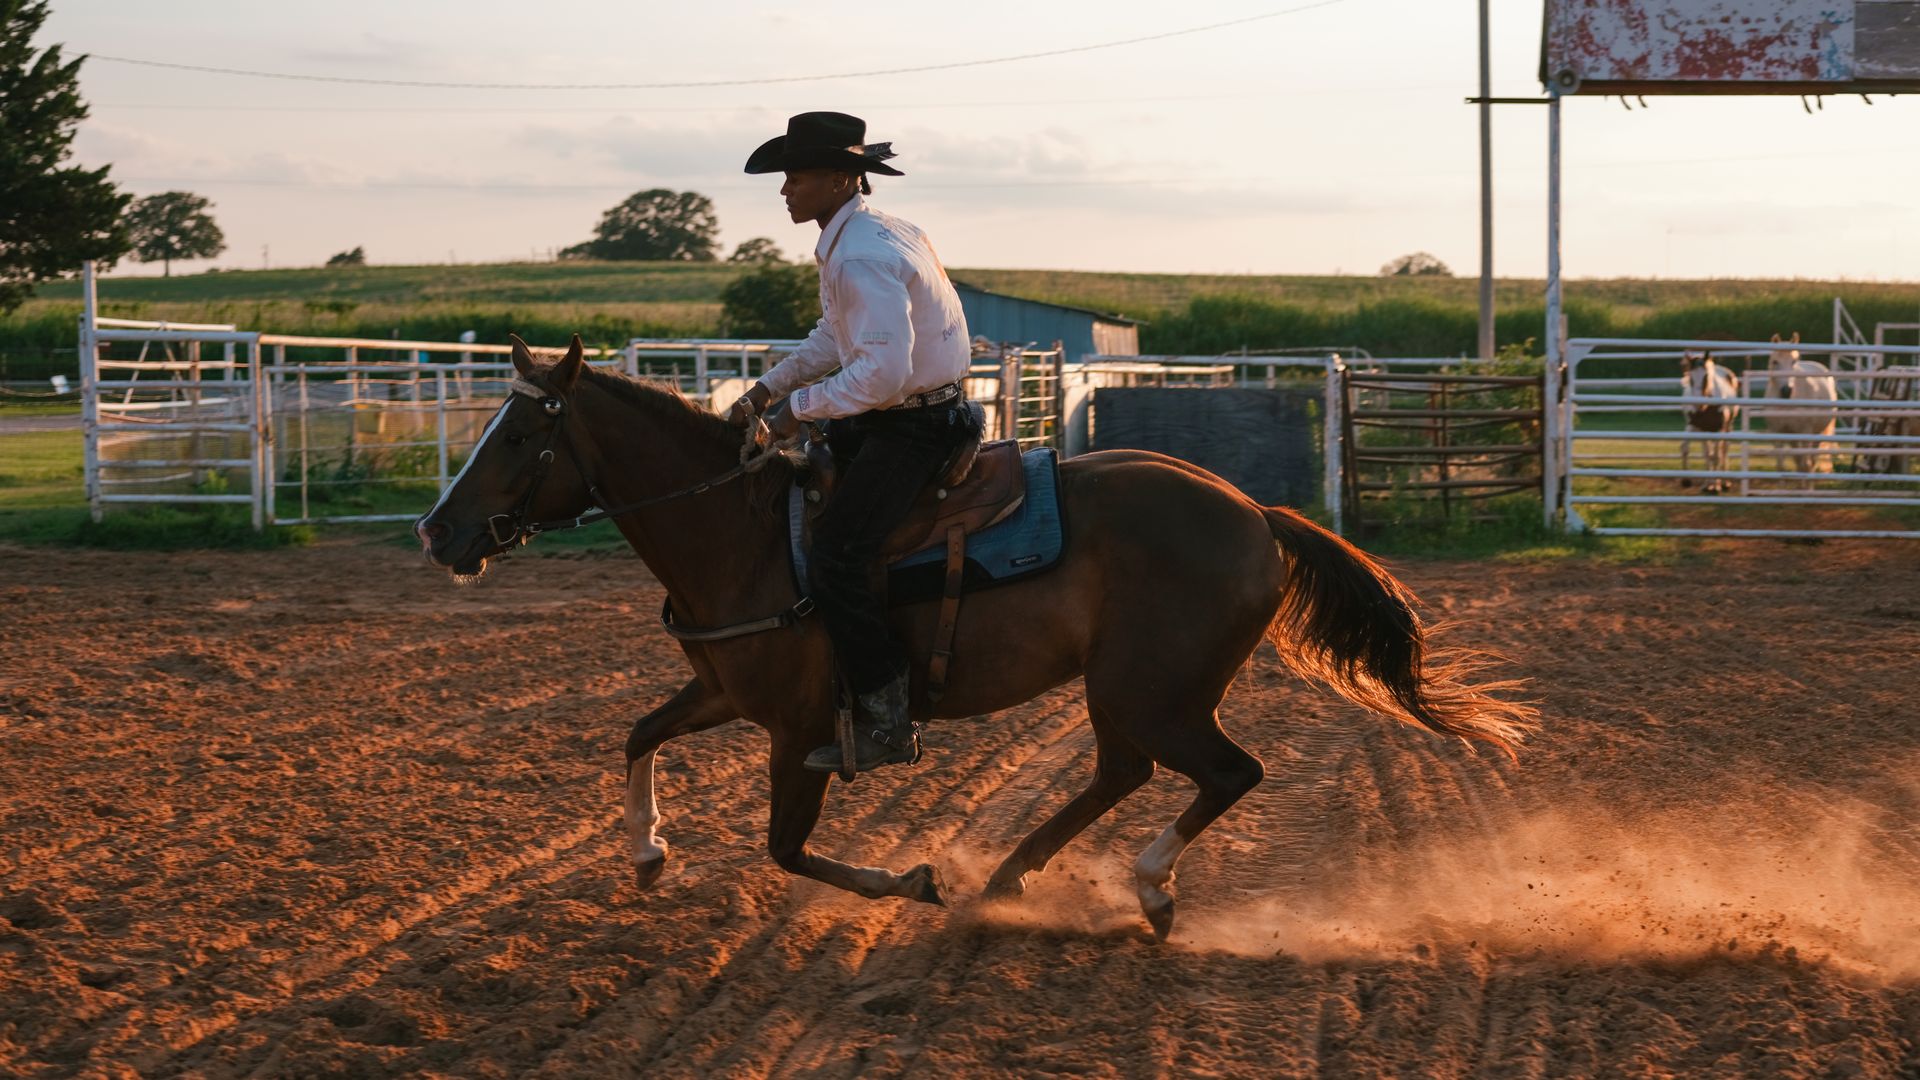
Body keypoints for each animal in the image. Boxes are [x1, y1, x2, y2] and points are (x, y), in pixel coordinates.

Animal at [414, 335, 1538, 941]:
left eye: (525, 434)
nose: (437, 531)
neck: (743, 533)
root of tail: (1256, 513)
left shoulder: (797, 731)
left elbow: (785, 847)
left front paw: (912, 880)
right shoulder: (729, 692)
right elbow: (639, 734)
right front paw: (648, 853)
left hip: (1151, 688)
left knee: (1225, 773)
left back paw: (1139, 887)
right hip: (1128, 692)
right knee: (1127, 772)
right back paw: (1012, 879)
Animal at [1679, 351, 1740, 493]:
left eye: (1706, 376)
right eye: (1690, 378)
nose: (1698, 404)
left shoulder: (1719, 428)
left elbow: (1716, 456)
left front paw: (1716, 486)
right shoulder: (1700, 428)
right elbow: (1706, 455)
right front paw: (1707, 485)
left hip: (1728, 427)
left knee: (1724, 450)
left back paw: (1725, 483)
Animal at [1762, 332, 1838, 478]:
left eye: (1794, 361)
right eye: (1775, 361)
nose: (1786, 391)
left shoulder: (1805, 433)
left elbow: (1806, 466)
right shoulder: (1776, 432)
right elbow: (1781, 467)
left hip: (1817, 433)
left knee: (1811, 461)